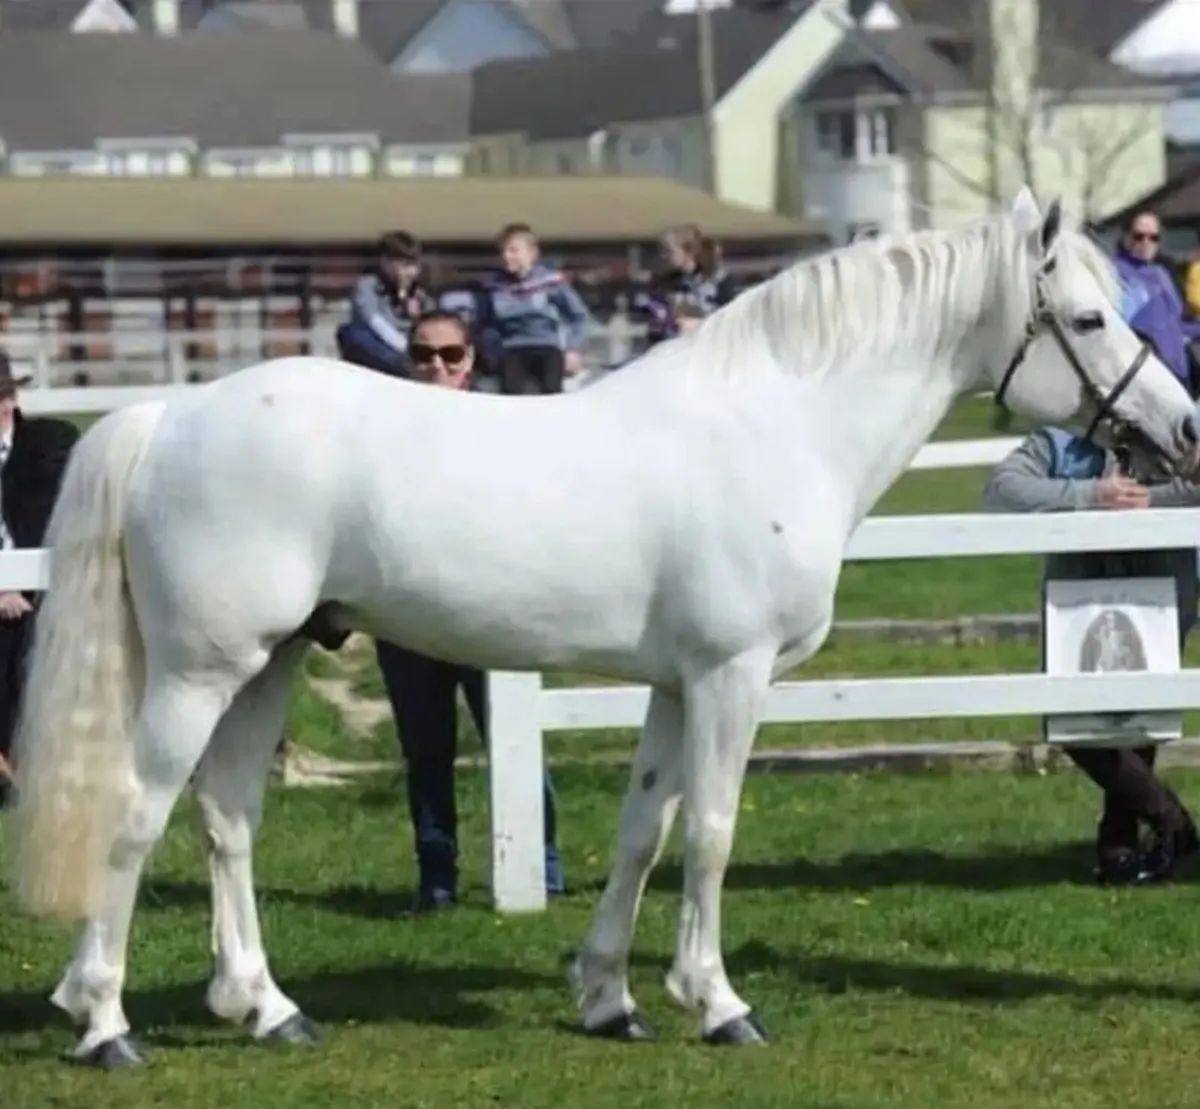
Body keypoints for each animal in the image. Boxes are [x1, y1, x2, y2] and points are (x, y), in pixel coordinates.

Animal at [9, 189, 1200, 1067]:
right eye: (1088, 320)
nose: (1183, 427)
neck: (776, 424)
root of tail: (170, 414)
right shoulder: (731, 676)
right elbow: (711, 832)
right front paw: (718, 1003)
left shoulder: (676, 684)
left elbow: (643, 832)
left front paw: (609, 996)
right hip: (200, 672)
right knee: (136, 812)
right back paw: (104, 1020)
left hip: (270, 664)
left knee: (228, 819)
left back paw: (264, 1007)